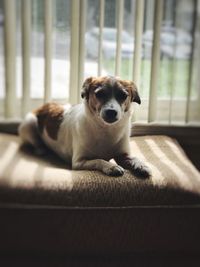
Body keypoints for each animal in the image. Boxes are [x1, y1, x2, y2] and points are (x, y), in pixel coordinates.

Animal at [18, 76, 151, 178]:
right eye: (99, 94)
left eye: (123, 95)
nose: (111, 112)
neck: (105, 130)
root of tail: (43, 106)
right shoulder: (78, 162)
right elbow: (99, 160)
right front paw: (111, 166)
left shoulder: (123, 155)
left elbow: (134, 158)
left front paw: (141, 165)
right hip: (29, 124)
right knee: (35, 142)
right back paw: (40, 149)